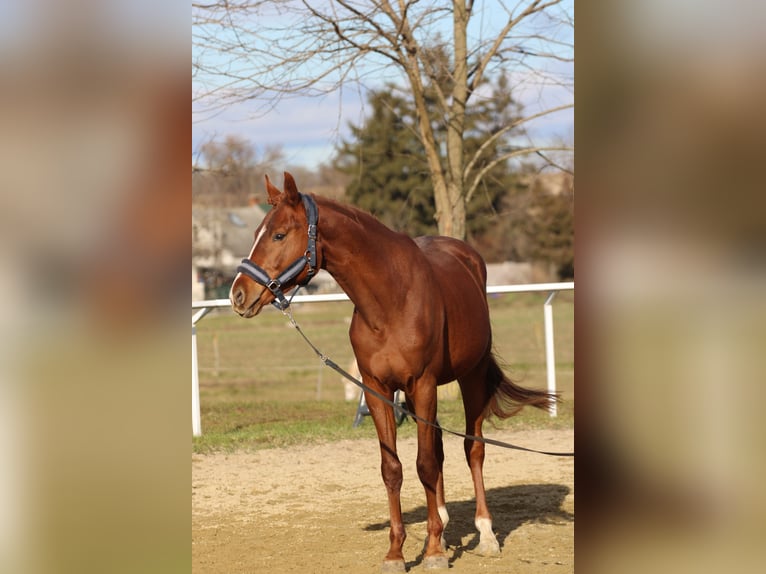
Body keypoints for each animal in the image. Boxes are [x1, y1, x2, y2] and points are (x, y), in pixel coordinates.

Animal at [230, 172, 554, 571]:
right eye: (257, 232)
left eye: (278, 235)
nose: (238, 294)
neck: (390, 301)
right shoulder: (378, 390)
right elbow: (394, 468)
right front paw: (397, 552)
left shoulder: (423, 384)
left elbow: (425, 464)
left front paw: (433, 553)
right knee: (440, 447)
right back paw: (440, 524)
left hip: (471, 376)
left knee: (472, 448)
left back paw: (485, 533)